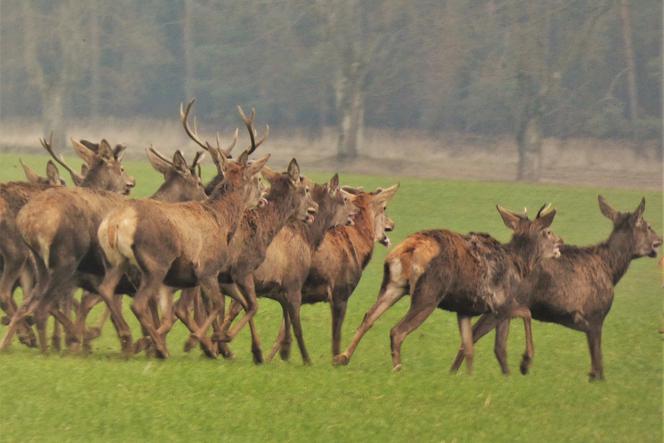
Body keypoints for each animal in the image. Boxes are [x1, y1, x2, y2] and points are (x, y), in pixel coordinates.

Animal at [95, 108, 270, 360]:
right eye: (256, 179)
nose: (264, 196)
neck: (222, 220)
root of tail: (116, 223)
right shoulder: (207, 268)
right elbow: (215, 305)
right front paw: (205, 340)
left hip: (116, 261)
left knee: (106, 290)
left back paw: (132, 340)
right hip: (155, 263)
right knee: (137, 304)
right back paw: (155, 346)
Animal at [215, 173, 356, 364]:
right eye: (345, 198)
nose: (356, 211)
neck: (309, 238)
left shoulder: (278, 289)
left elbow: (285, 319)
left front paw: (283, 351)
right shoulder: (292, 284)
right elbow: (296, 325)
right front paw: (305, 358)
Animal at [338, 206, 560, 374]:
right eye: (547, 232)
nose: (560, 243)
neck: (519, 266)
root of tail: (409, 248)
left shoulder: (465, 309)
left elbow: (469, 347)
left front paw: (463, 376)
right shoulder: (499, 303)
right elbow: (519, 322)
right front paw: (524, 362)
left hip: (393, 285)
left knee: (369, 317)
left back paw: (342, 357)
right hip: (428, 295)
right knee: (397, 331)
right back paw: (398, 369)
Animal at [448, 197, 660, 382]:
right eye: (648, 225)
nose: (660, 239)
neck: (610, 269)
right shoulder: (595, 314)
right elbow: (598, 359)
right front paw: (597, 380)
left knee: (495, 344)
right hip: (500, 303)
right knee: (476, 335)